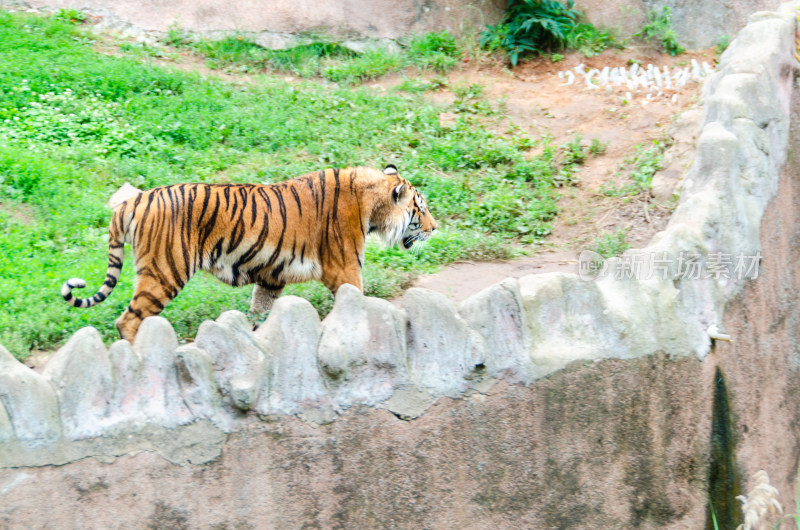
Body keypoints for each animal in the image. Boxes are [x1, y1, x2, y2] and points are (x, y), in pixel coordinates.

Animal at [61, 163, 438, 340]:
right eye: (420, 209)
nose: (435, 228)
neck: (371, 206)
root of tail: (134, 200)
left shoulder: (271, 278)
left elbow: (260, 313)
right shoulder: (344, 270)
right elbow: (358, 301)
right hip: (164, 272)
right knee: (127, 320)